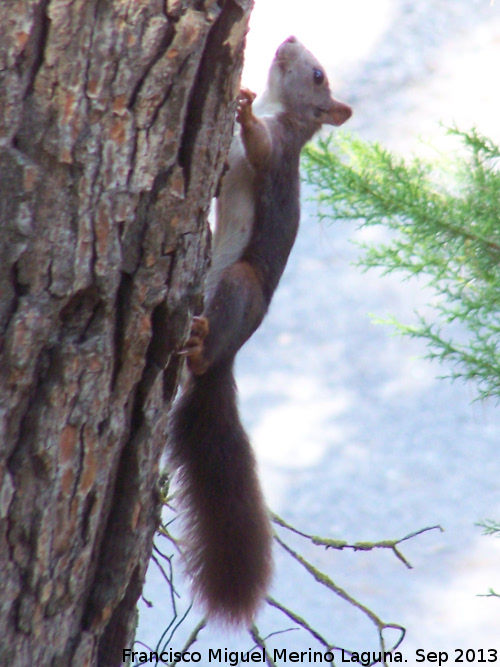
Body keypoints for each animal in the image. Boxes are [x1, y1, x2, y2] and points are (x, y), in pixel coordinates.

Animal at [168, 36, 352, 628]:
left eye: (318, 76)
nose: (289, 39)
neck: (284, 112)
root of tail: (230, 355)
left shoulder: (278, 150)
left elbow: (261, 148)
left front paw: (243, 109)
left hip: (240, 285)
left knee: (207, 351)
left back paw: (200, 348)